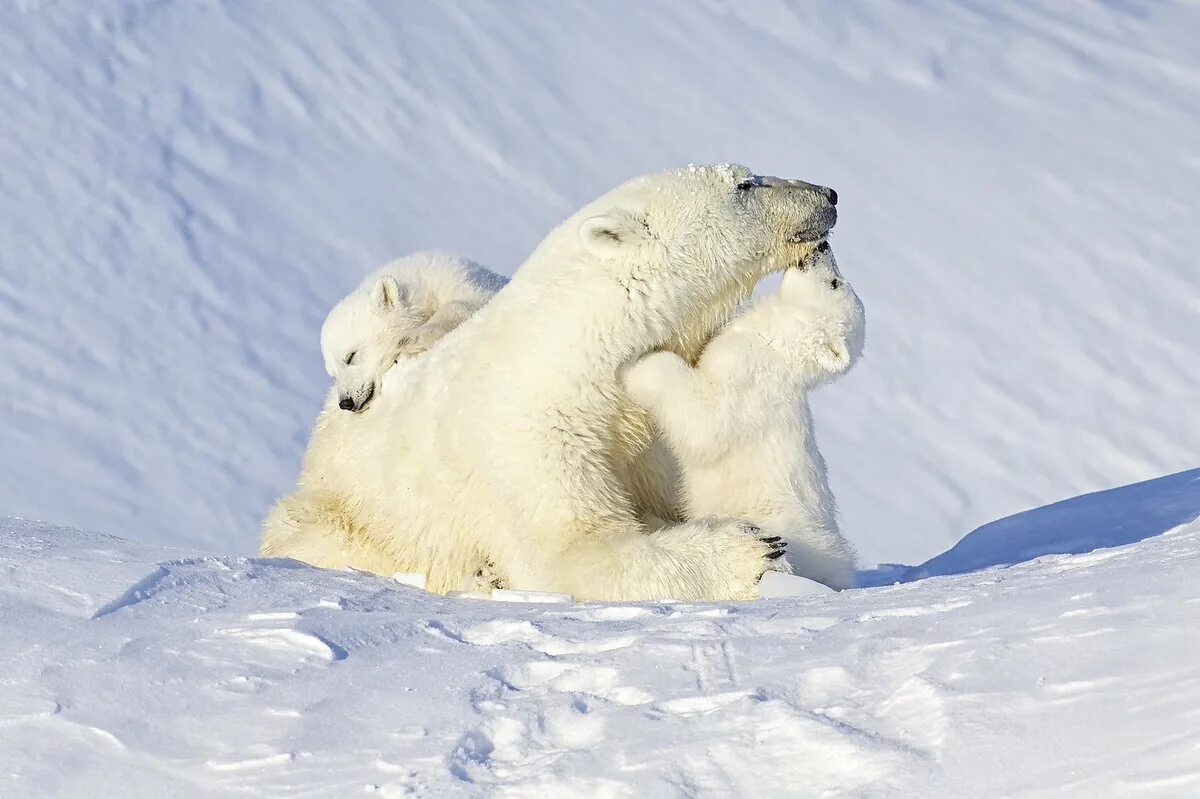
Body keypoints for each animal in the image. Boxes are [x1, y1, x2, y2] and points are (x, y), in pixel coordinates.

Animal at [319, 250, 506, 410]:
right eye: (333, 375)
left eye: (351, 356)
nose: (345, 402)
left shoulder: (460, 280)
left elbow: (473, 301)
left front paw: (411, 339)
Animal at [619, 239, 864, 587]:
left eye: (834, 283)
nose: (823, 245)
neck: (778, 349)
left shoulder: (747, 379)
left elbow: (705, 423)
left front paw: (638, 363)